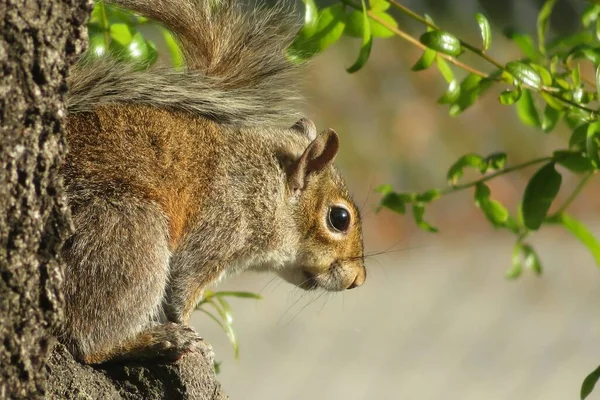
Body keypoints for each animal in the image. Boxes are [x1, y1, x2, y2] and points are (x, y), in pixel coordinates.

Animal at [61, 0, 368, 364]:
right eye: (339, 218)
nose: (358, 280)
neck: (262, 182)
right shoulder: (216, 230)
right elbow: (182, 290)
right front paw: (191, 334)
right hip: (128, 234)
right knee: (91, 341)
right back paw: (158, 340)